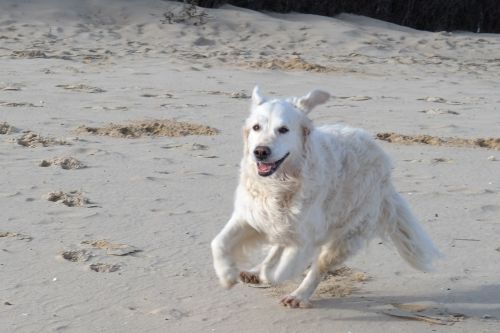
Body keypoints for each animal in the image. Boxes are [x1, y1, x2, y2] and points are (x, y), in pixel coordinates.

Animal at [211, 85, 442, 306]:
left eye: (283, 129)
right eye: (256, 127)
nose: (260, 151)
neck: (280, 183)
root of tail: (386, 174)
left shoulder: (305, 237)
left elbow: (280, 271)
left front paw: (267, 276)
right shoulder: (251, 215)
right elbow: (219, 242)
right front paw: (227, 275)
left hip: (346, 235)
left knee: (318, 267)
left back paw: (297, 295)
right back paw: (255, 271)